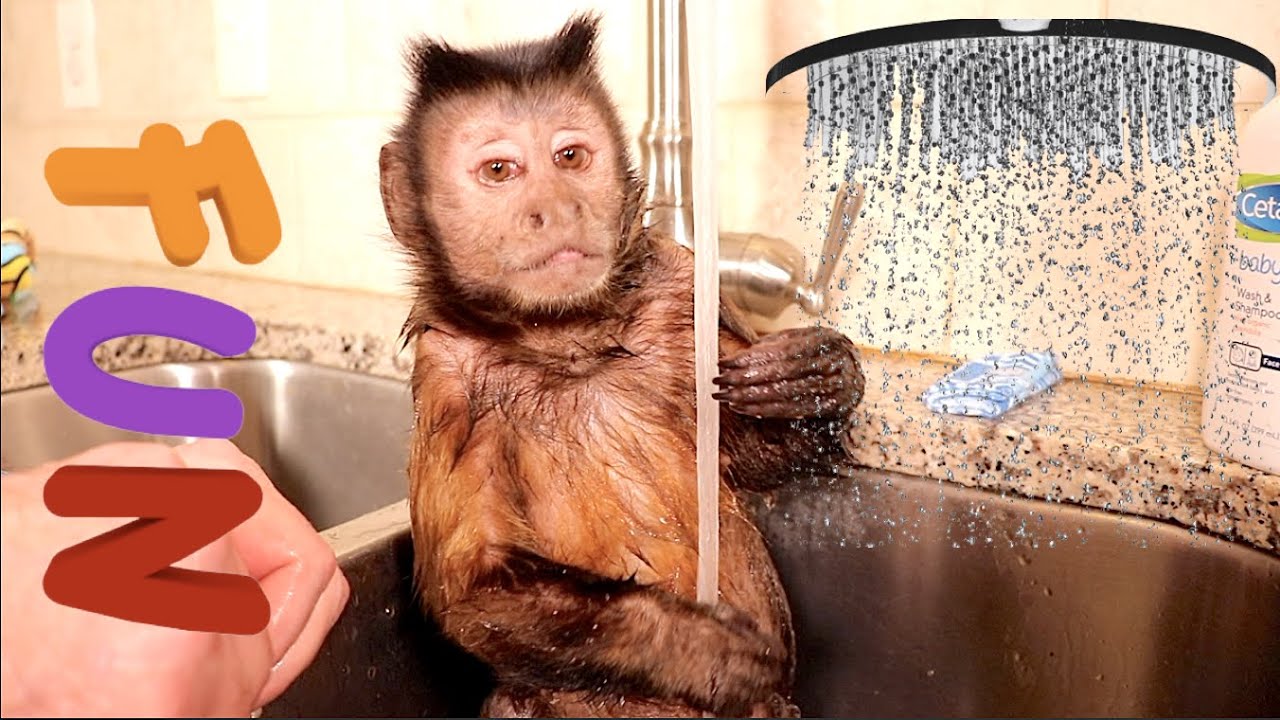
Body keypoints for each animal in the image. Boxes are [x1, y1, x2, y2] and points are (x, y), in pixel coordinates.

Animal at [378, 13, 865, 718]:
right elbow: (475, 587)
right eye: (500, 169)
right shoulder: (447, 379)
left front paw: (818, 377)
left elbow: (749, 455)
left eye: (570, 157)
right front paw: (704, 650)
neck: (568, 339)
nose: (557, 207)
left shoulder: (682, 285)